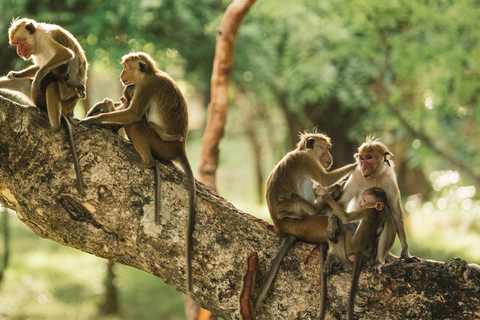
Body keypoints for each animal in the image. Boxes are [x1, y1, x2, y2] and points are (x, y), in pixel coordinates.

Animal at [0, 18, 88, 196]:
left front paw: (39, 76)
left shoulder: (47, 38)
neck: (38, 40)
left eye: (19, 43)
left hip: (65, 100)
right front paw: (17, 73)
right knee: (22, 84)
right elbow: (37, 67)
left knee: (52, 86)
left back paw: (53, 126)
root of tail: (71, 109)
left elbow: (65, 54)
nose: (19, 53)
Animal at [81, 52, 196, 296]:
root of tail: (179, 149)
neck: (151, 73)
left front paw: (94, 119)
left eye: (126, 67)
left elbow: (133, 113)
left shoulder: (145, 87)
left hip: (161, 145)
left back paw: (146, 162)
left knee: (136, 123)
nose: (121, 75)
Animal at [253, 129, 358, 316]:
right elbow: (324, 179)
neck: (304, 151)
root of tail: (282, 228)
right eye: (327, 149)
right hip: (306, 226)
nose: (330, 159)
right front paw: (358, 162)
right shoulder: (305, 160)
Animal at [322, 186, 386, 320]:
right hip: (367, 252)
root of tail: (359, 252)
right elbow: (379, 230)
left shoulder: (366, 211)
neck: (375, 210)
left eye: (365, 199)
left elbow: (345, 217)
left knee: (341, 226)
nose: (361, 201)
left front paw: (327, 197)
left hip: (348, 246)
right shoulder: (381, 213)